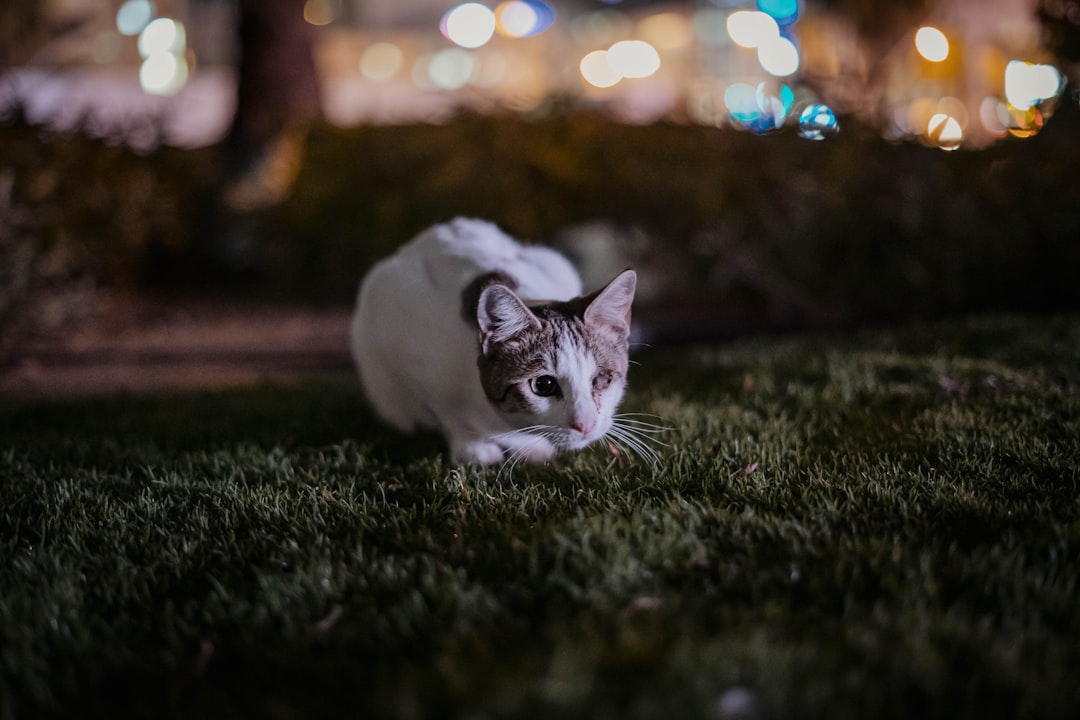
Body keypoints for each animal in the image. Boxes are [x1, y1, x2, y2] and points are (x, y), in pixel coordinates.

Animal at [352, 216, 656, 468]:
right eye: (544, 385)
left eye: (602, 379)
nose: (585, 424)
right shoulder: (408, 349)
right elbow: (448, 412)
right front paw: (475, 447)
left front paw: (525, 444)